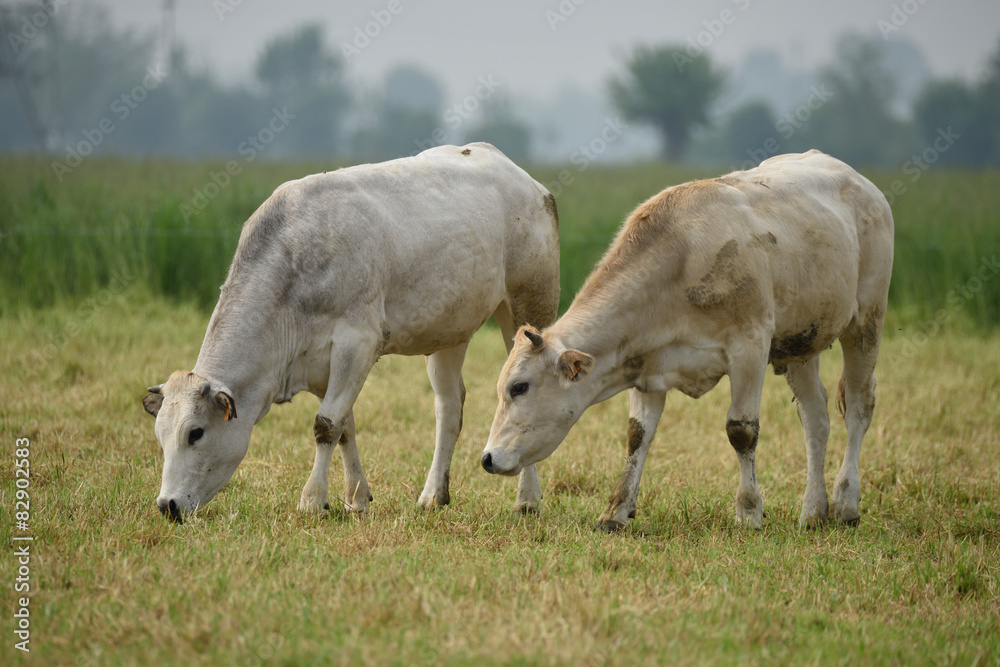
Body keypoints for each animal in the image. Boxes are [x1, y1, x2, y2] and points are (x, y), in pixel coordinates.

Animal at [142, 144, 564, 524]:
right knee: (449, 407)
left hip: (529, 304)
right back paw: (433, 495)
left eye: (195, 433)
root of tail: (519, 175)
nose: (167, 505)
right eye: (160, 437)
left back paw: (527, 498)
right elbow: (344, 426)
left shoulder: (357, 343)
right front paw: (356, 498)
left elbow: (325, 425)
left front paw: (313, 499)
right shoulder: (318, 365)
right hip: (449, 330)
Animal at [480, 151, 896, 532]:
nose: (487, 458)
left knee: (859, 406)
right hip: (801, 344)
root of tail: (860, 182)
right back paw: (813, 510)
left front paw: (748, 512)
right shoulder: (646, 363)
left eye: (519, 387)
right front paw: (616, 511)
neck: (679, 264)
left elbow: (742, 430)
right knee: (815, 418)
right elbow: (637, 436)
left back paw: (846, 502)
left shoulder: (749, 346)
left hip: (867, 322)